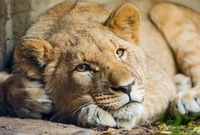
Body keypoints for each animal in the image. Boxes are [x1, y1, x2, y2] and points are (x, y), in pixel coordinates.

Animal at [0, 0, 200, 129]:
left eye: (120, 52)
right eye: (82, 68)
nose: (127, 87)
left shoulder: (159, 77)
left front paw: (92, 113)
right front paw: (28, 95)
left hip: (164, 11)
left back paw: (187, 99)